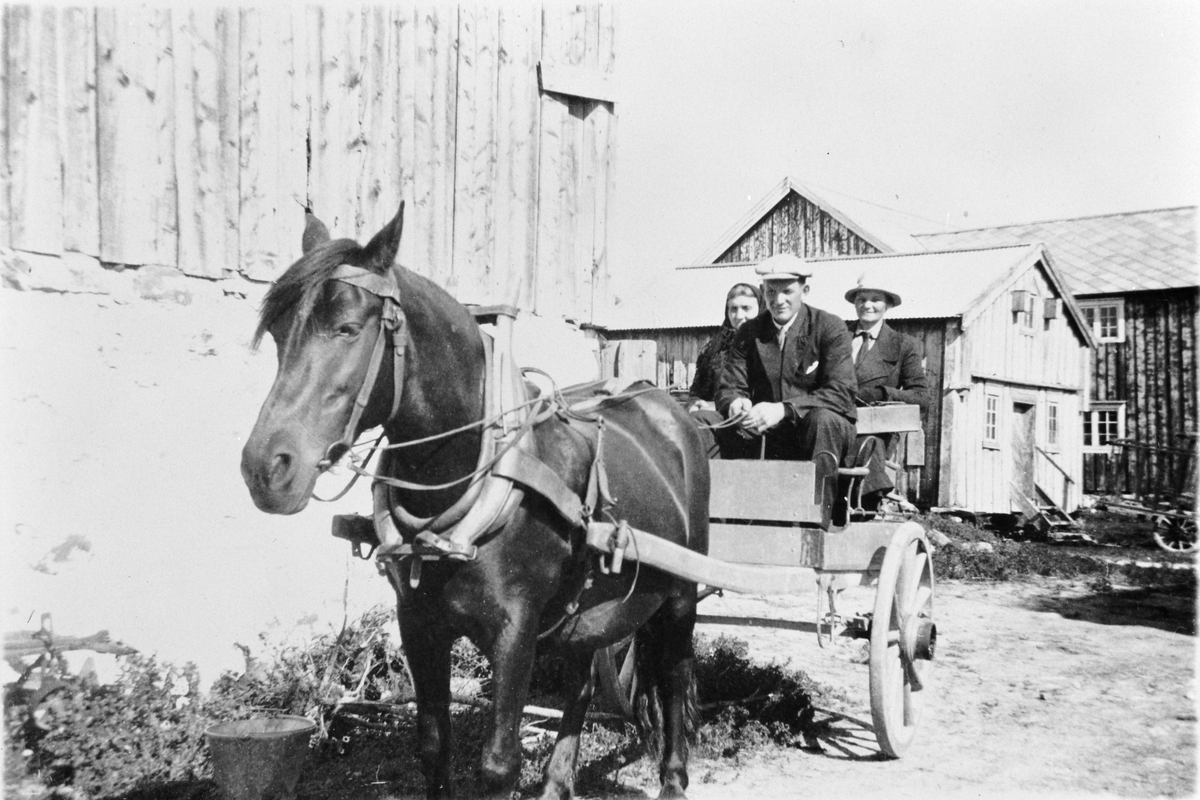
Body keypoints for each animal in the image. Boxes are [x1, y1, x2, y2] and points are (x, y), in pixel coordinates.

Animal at [243, 203, 710, 796]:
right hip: (586, 609)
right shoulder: (418, 622)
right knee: (583, 680)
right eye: (279, 333)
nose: (265, 467)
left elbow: (498, 763)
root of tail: (671, 409)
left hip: (680, 593)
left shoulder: (517, 628)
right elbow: (432, 745)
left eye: (347, 328)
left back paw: (672, 776)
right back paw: (557, 782)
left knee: (675, 675)